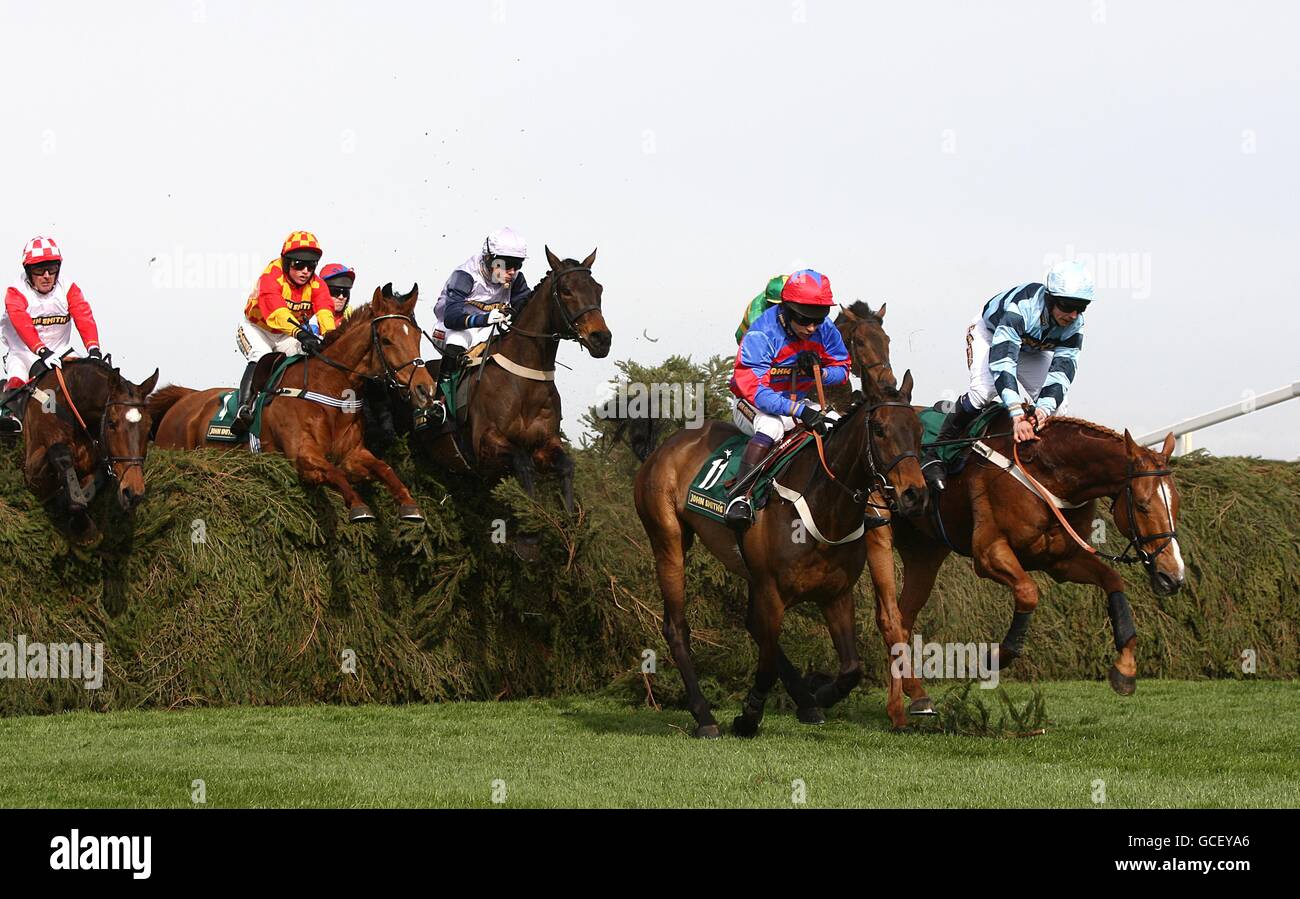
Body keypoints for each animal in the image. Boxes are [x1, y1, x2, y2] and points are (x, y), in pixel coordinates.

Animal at [18, 355, 159, 540]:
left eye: (149, 427)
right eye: (111, 423)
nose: (133, 494)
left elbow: (93, 484)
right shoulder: (31, 470)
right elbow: (60, 454)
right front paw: (84, 527)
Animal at [145, 280, 434, 519]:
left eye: (418, 336)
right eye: (386, 340)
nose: (425, 389)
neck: (330, 390)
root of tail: (184, 399)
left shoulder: (353, 454)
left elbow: (384, 469)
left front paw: (410, 504)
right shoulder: (302, 456)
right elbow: (334, 472)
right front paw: (359, 506)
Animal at [421, 245, 613, 517]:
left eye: (598, 289)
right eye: (566, 290)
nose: (602, 339)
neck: (524, 382)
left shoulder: (546, 443)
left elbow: (567, 465)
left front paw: (566, 516)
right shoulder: (485, 442)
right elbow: (523, 462)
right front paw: (532, 511)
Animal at [634, 371, 930, 737]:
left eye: (919, 430)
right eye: (880, 430)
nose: (915, 495)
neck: (822, 506)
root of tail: (663, 447)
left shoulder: (835, 594)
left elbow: (851, 669)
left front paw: (819, 696)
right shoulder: (772, 592)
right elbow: (766, 663)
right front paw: (749, 716)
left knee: (754, 627)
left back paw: (805, 701)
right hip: (668, 542)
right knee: (677, 628)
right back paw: (704, 716)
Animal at [889, 410, 1185, 711]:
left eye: (1176, 504)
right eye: (1142, 505)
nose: (1173, 576)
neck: (1047, 474)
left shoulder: (1061, 561)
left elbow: (1113, 580)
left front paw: (1125, 669)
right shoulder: (988, 553)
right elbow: (1029, 592)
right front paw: (995, 658)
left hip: (924, 554)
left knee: (902, 617)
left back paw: (914, 692)